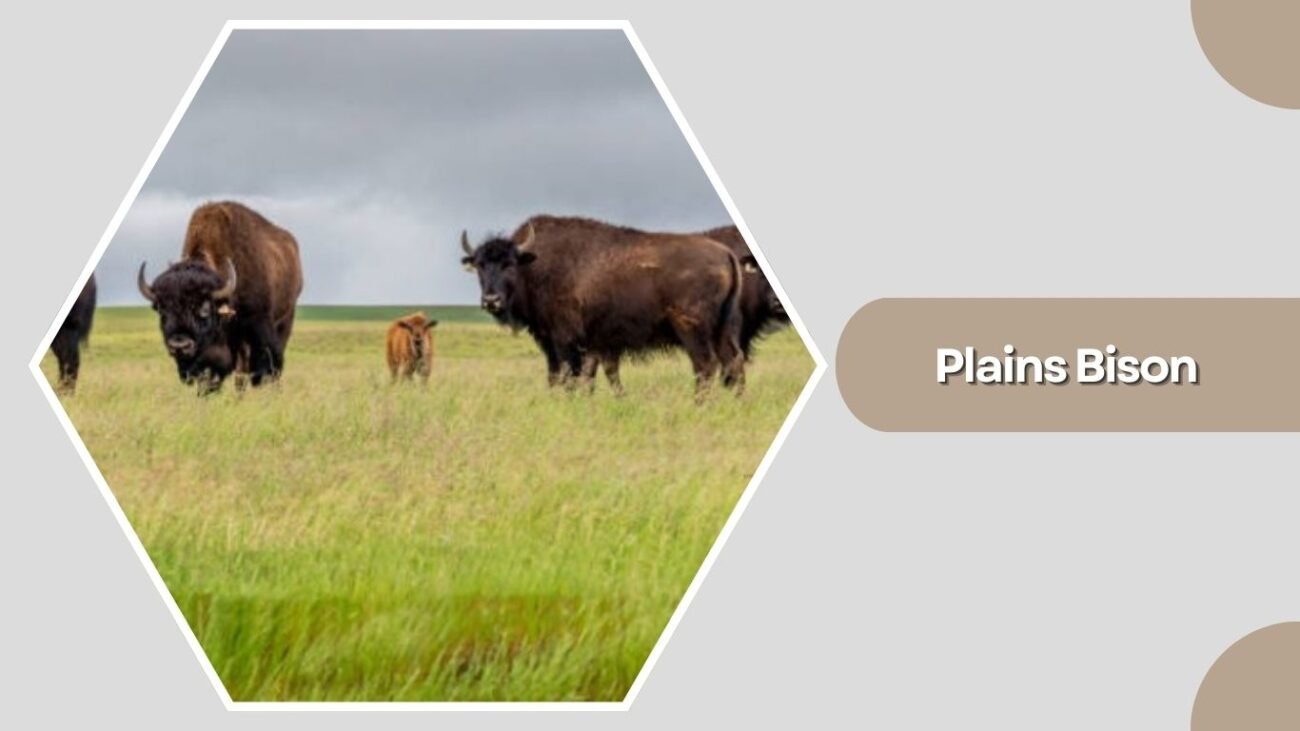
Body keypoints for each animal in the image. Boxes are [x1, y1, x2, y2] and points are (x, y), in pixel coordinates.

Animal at [137, 201, 303, 393]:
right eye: (162, 310)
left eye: (204, 309)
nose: (180, 345)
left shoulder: (257, 326)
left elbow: (263, 363)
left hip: (286, 318)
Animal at [460, 215, 746, 398]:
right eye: (480, 265)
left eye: (509, 264)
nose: (491, 300)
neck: (534, 265)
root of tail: (725, 253)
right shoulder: (581, 344)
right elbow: (572, 376)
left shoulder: (564, 341)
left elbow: (569, 376)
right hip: (723, 328)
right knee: (733, 360)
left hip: (692, 330)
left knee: (705, 365)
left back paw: (699, 404)